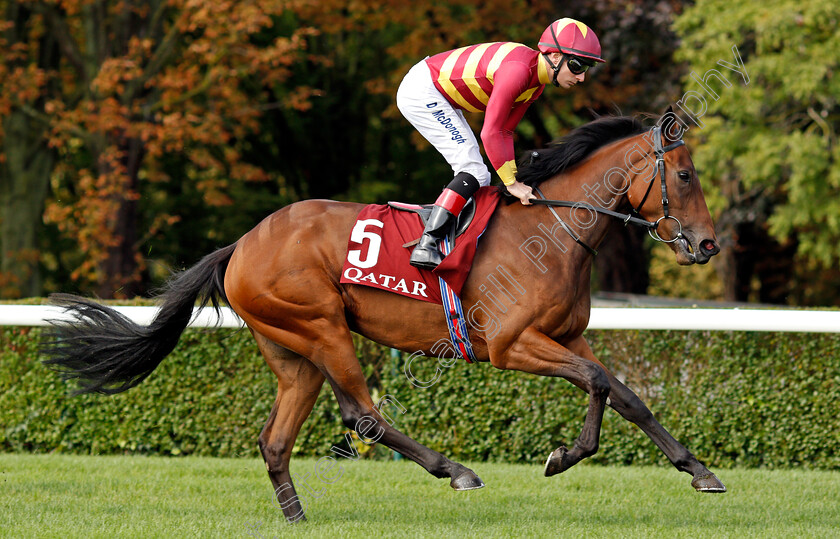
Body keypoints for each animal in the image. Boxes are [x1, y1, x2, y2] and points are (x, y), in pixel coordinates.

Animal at [44, 108, 728, 524]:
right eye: (685, 174)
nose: (706, 245)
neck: (554, 231)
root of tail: (239, 245)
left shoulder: (568, 336)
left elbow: (625, 393)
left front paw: (699, 471)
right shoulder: (513, 345)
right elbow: (597, 384)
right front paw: (565, 455)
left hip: (291, 351)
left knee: (275, 439)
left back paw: (298, 517)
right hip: (320, 326)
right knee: (361, 414)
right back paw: (455, 471)